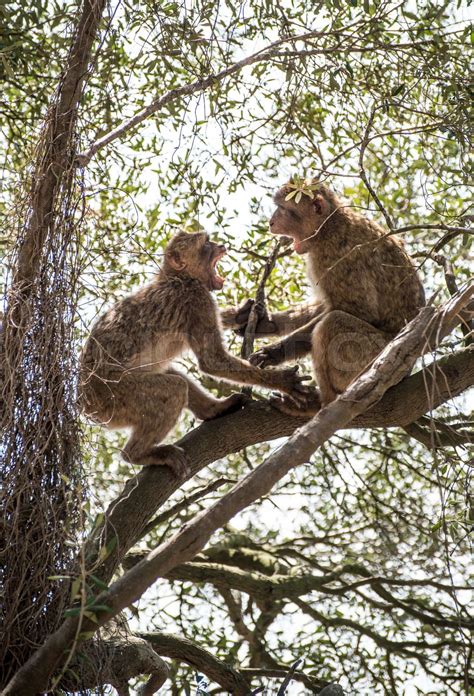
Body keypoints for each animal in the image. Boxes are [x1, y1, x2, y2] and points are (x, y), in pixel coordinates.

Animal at [79, 230, 312, 476]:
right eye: (206, 243)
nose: (220, 245)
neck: (178, 278)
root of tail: (84, 402)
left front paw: (241, 313)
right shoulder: (197, 298)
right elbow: (212, 361)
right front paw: (282, 381)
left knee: (172, 375)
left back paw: (214, 410)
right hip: (113, 396)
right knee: (173, 388)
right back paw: (137, 454)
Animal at [247, 181, 425, 412]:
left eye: (284, 209)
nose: (271, 222)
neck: (329, 225)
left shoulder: (334, 256)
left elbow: (354, 310)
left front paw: (275, 352)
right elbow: (325, 304)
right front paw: (266, 323)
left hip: (376, 361)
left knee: (332, 323)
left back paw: (320, 404)